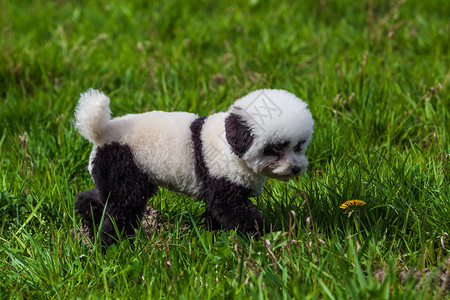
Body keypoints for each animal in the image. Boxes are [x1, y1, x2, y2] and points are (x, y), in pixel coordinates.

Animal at [74, 89, 312, 246]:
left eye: (299, 146)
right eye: (275, 148)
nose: (296, 168)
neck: (233, 147)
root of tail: (101, 133)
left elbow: (215, 214)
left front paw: (212, 237)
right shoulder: (222, 183)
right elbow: (235, 211)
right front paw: (268, 236)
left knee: (102, 198)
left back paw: (91, 220)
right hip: (123, 166)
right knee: (122, 207)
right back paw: (113, 245)